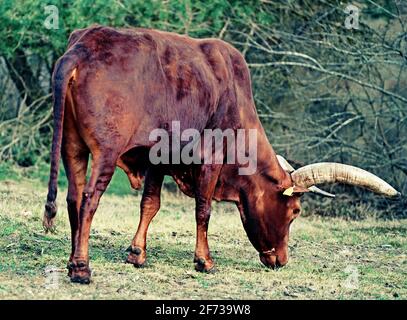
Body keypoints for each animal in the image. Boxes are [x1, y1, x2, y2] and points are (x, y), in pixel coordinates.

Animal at [43, 25, 400, 284]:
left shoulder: (159, 158)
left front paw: (136, 254)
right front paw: (204, 260)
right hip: (105, 151)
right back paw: (82, 268)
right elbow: (204, 210)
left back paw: (72, 260)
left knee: (73, 197)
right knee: (89, 198)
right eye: (296, 211)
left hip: (72, 146)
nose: (282, 260)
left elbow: (150, 204)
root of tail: (83, 46)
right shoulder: (210, 157)